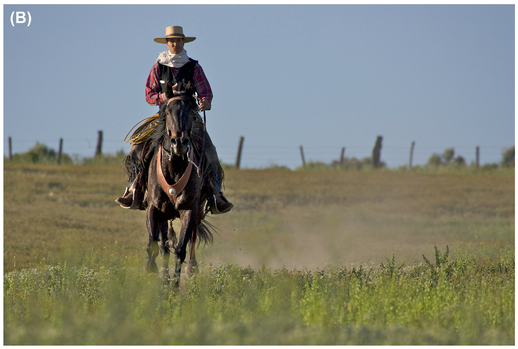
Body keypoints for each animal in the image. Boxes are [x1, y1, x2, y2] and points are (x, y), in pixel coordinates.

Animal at [142, 91, 215, 284]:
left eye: (192, 113)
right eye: (167, 112)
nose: (179, 143)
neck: (174, 167)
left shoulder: (189, 210)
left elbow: (181, 249)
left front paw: (175, 284)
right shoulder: (154, 209)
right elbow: (154, 246)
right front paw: (151, 273)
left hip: (197, 212)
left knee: (191, 241)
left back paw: (190, 270)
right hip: (165, 215)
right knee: (164, 246)